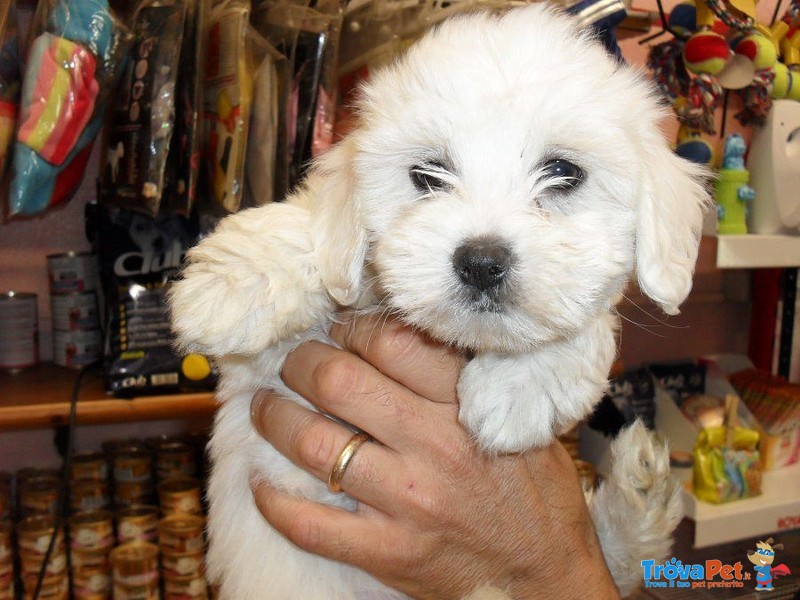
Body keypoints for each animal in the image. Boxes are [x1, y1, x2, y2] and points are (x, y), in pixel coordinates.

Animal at [172, 5, 708, 600]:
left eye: (564, 172)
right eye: (426, 175)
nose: (481, 261)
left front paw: (520, 386)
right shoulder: (267, 375)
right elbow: (312, 237)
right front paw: (230, 285)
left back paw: (641, 492)